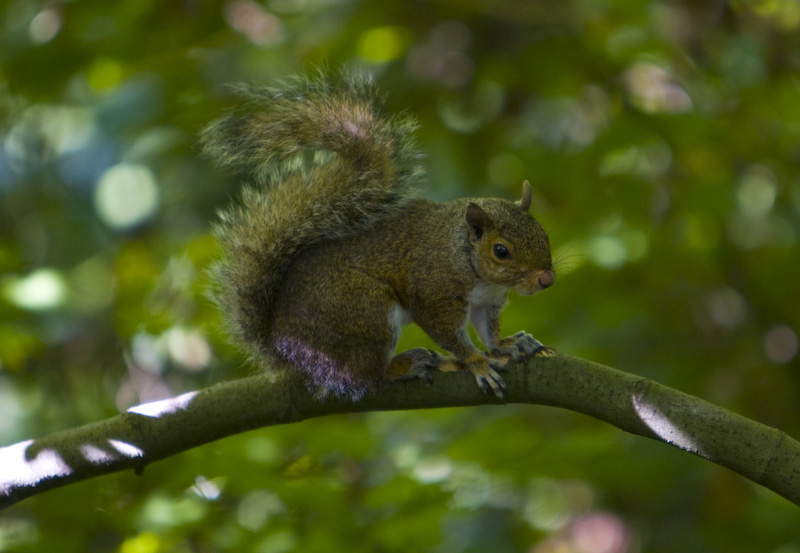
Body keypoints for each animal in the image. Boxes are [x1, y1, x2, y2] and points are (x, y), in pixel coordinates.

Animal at [200, 73, 552, 402]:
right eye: (501, 251)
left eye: (544, 234)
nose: (546, 279)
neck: (467, 257)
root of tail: (284, 347)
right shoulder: (435, 295)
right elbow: (449, 336)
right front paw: (478, 363)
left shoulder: (487, 302)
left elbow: (489, 332)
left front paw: (508, 345)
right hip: (365, 313)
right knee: (366, 377)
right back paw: (405, 365)